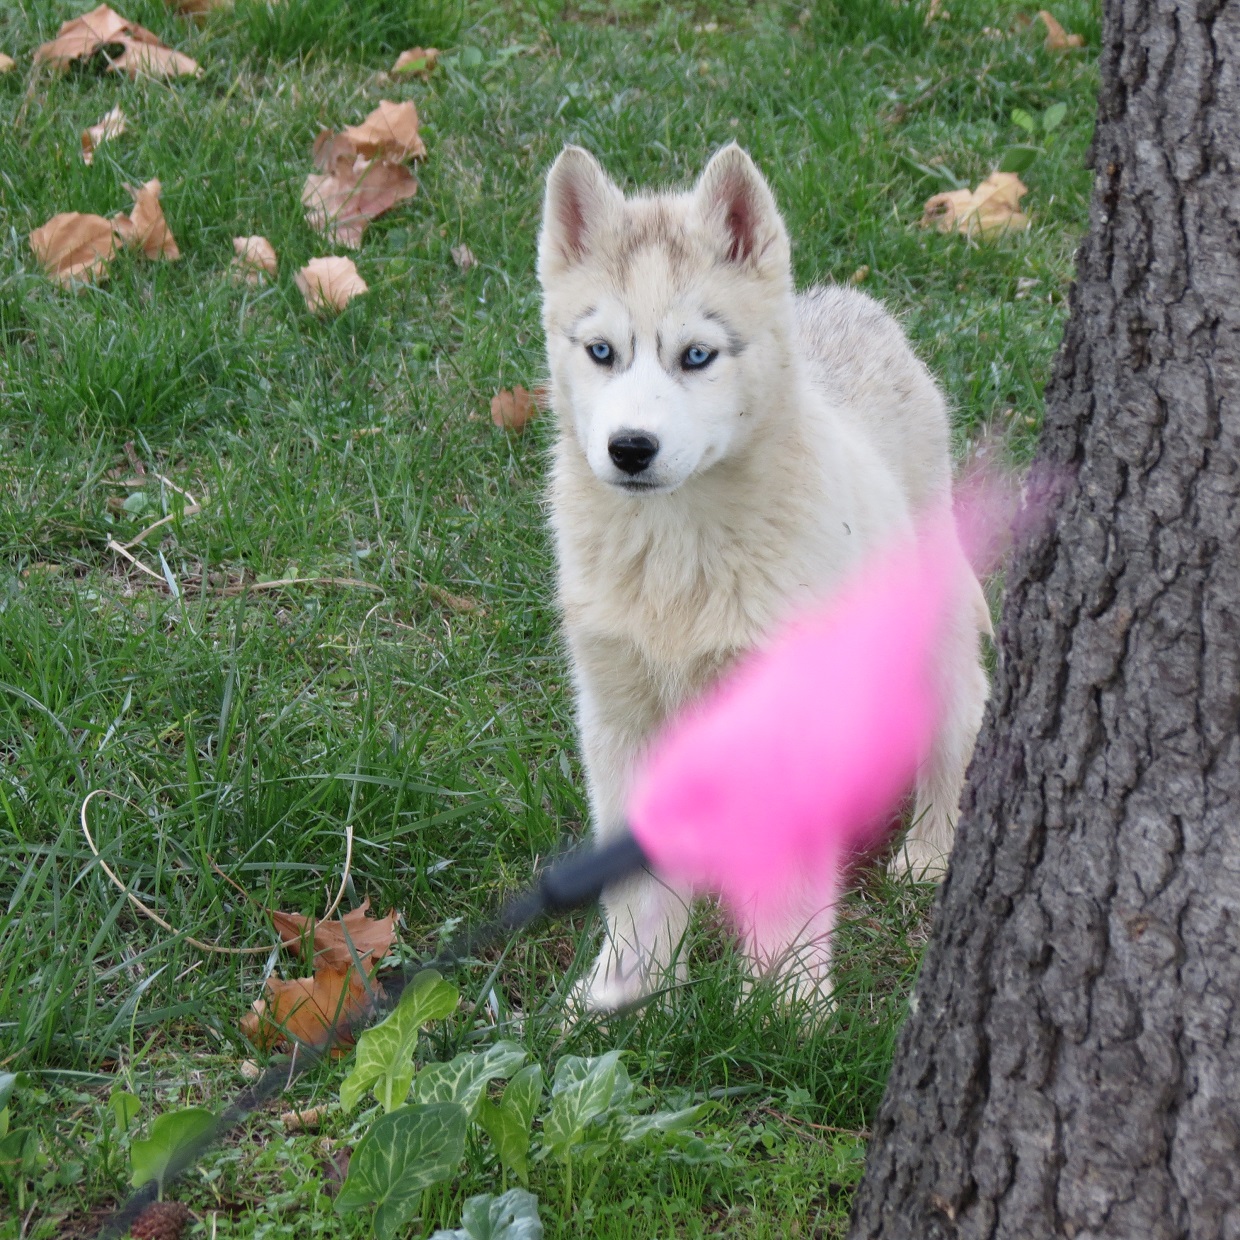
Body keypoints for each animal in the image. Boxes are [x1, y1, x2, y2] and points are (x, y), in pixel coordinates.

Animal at [537, 143, 990, 1012]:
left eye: (697, 356)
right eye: (602, 351)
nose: (630, 449)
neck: (677, 548)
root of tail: (856, 307)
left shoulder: (784, 719)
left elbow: (789, 881)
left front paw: (787, 1006)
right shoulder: (619, 716)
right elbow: (635, 883)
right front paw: (625, 988)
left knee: (960, 712)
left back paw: (929, 848)